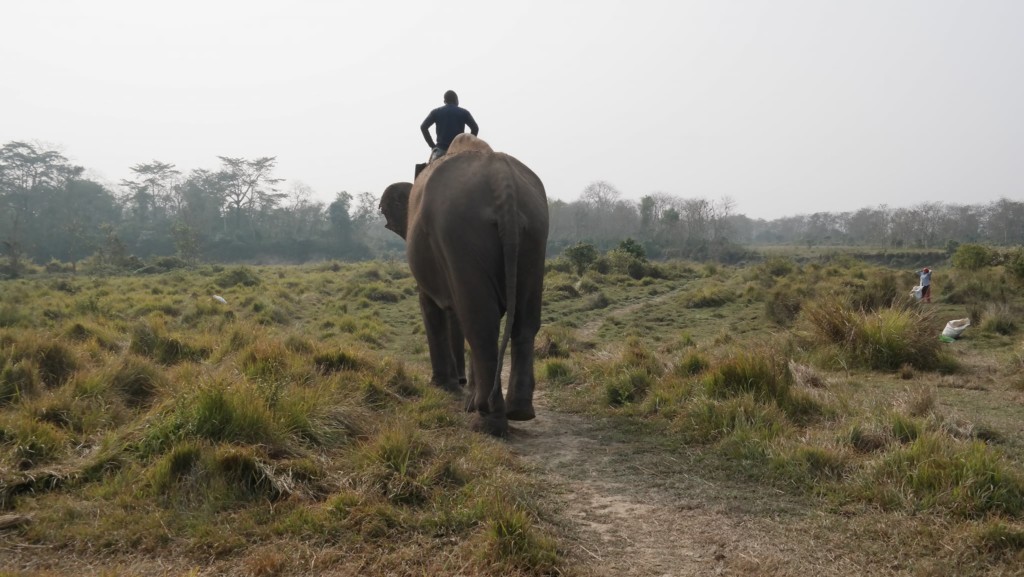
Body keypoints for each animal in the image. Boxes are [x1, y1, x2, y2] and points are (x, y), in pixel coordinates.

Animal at [380, 133, 548, 436]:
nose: (456, 380)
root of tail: (501, 179)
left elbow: (433, 306)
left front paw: (443, 386)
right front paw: (461, 388)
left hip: (461, 232)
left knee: (480, 323)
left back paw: (487, 420)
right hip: (535, 232)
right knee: (524, 321)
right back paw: (518, 412)